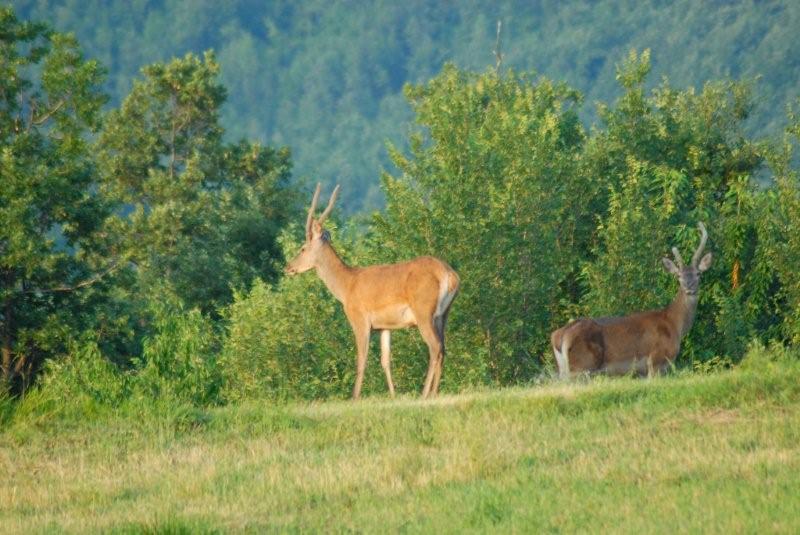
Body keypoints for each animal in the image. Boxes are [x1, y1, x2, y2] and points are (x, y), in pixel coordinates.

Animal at [284, 184, 460, 398]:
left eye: (303, 248)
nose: (288, 268)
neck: (346, 287)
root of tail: (450, 275)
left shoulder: (359, 319)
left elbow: (361, 360)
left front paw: (354, 398)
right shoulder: (385, 326)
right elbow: (385, 361)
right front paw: (393, 396)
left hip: (424, 310)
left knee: (434, 347)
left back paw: (424, 393)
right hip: (444, 314)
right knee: (443, 347)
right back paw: (434, 393)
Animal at [552, 224, 712, 378]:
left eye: (698, 273)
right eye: (678, 275)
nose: (689, 286)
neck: (674, 324)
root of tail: (559, 336)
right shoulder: (655, 360)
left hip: (566, 369)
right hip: (581, 366)